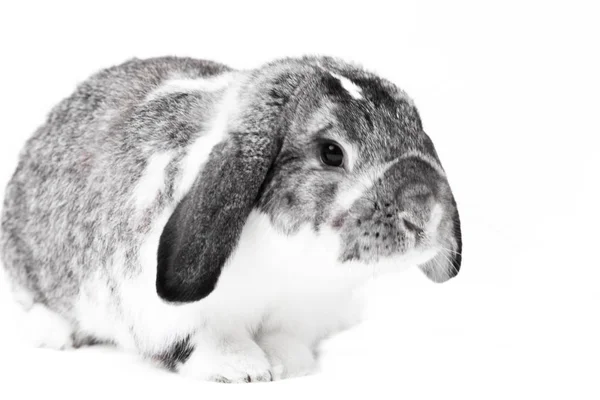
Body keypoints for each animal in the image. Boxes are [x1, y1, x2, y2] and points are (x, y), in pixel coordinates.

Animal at [0, 55, 462, 382]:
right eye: (332, 152)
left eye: (418, 132)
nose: (423, 212)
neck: (293, 265)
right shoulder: (165, 312)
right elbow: (204, 341)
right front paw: (243, 369)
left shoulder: (304, 312)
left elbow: (287, 338)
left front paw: (292, 366)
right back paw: (54, 334)